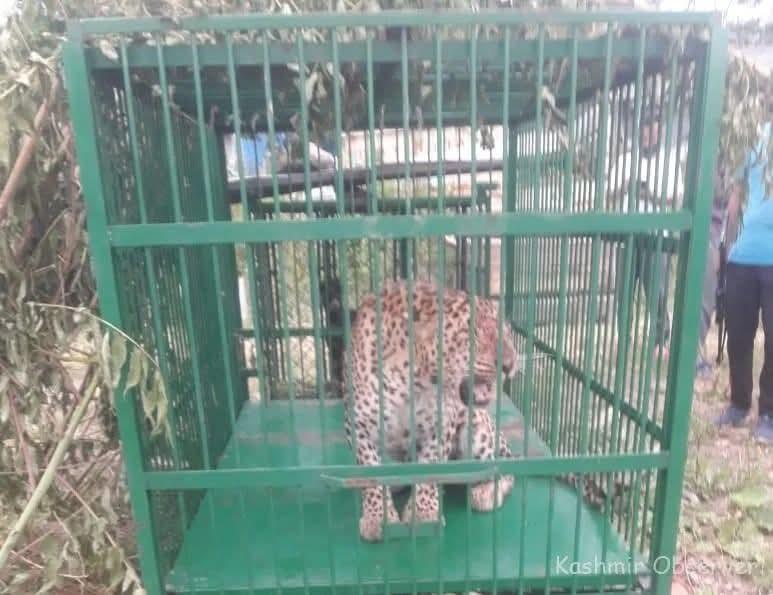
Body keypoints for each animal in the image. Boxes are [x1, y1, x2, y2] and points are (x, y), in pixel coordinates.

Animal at [342, 279, 522, 542]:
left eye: (507, 332)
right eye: (472, 334)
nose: (510, 365)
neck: (413, 381)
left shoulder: (440, 424)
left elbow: (429, 472)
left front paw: (424, 514)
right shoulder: (358, 426)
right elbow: (372, 477)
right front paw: (378, 517)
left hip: (477, 431)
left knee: (504, 465)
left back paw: (486, 492)